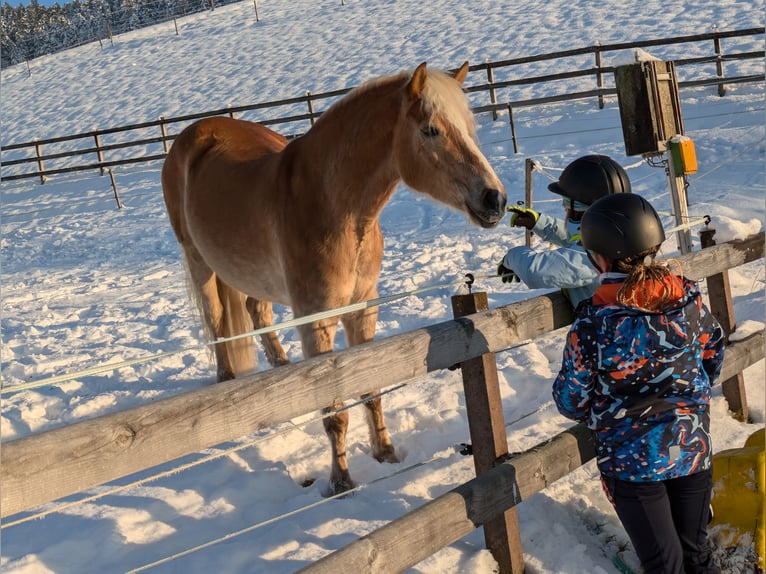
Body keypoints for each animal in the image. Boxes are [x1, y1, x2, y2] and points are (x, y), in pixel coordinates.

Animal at [161, 62, 508, 496]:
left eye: (469, 126)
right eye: (430, 129)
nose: (495, 199)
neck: (333, 207)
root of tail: (192, 135)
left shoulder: (362, 309)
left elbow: (371, 391)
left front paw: (385, 453)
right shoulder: (316, 321)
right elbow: (335, 410)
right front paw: (341, 480)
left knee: (256, 310)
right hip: (200, 264)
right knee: (217, 321)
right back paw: (227, 378)